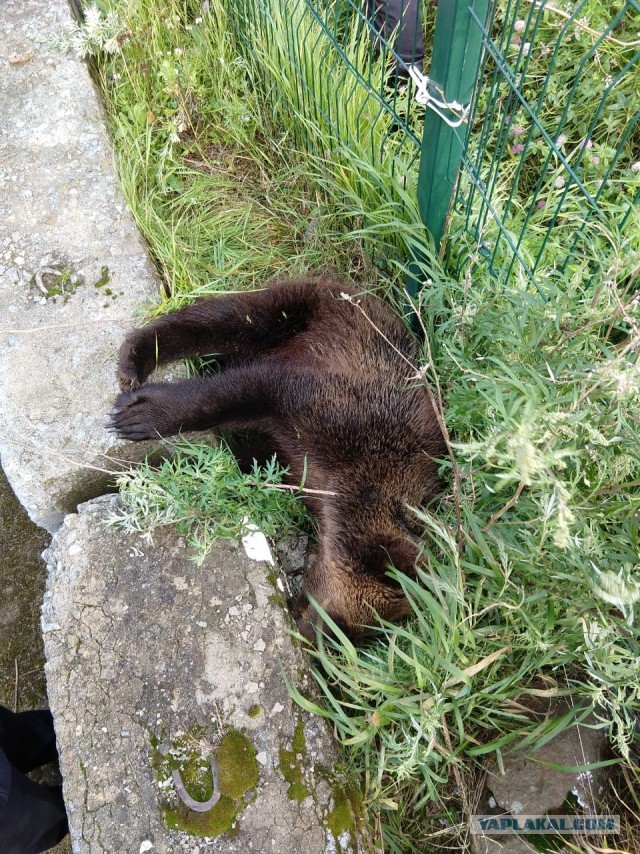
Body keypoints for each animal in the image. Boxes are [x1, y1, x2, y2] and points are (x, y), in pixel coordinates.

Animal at [111, 277, 447, 639]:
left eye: (359, 635)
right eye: (339, 624)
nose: (309, 641)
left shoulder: (302, 462)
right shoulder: (334, 408)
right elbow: (246, 390)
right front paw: (145, 416)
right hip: (308, 311)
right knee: (227, 318)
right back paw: (137, 356)